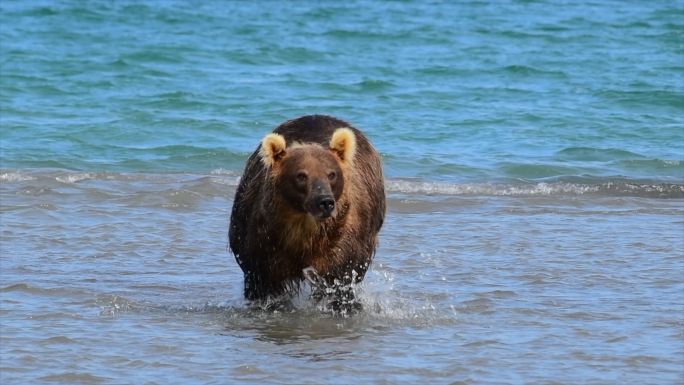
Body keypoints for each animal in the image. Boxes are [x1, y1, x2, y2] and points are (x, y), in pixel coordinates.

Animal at [230, 114, 384, 306]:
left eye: (331, 174)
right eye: (301, 175)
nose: (325, 202)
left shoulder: (343, 240)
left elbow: (340, 282)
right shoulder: (262, 244)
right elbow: (262, 286)